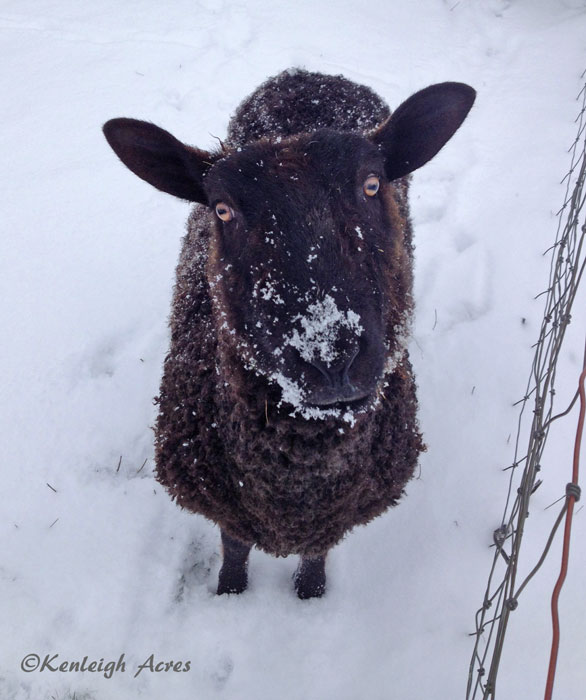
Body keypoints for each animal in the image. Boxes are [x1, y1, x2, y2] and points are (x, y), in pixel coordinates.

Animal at [103, 69, 475, 599]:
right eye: (222, 210)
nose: (331, 358)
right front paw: (231, 593)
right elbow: (234, 545)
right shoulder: (226, 507)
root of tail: (311, 75)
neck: (295, 489)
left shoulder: (335, 517)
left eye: (371, 184)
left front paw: (310, 594)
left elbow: (318, 550)